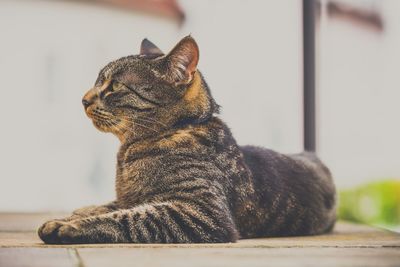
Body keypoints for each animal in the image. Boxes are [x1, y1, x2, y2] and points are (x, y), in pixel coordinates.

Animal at [38, 36, 338, 245]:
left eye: (114, 86)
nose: (83, 99)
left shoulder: (201, 212)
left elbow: (127, 218)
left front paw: (69, 226)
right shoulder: (130, 198)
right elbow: (111, 206)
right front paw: (74, 214)